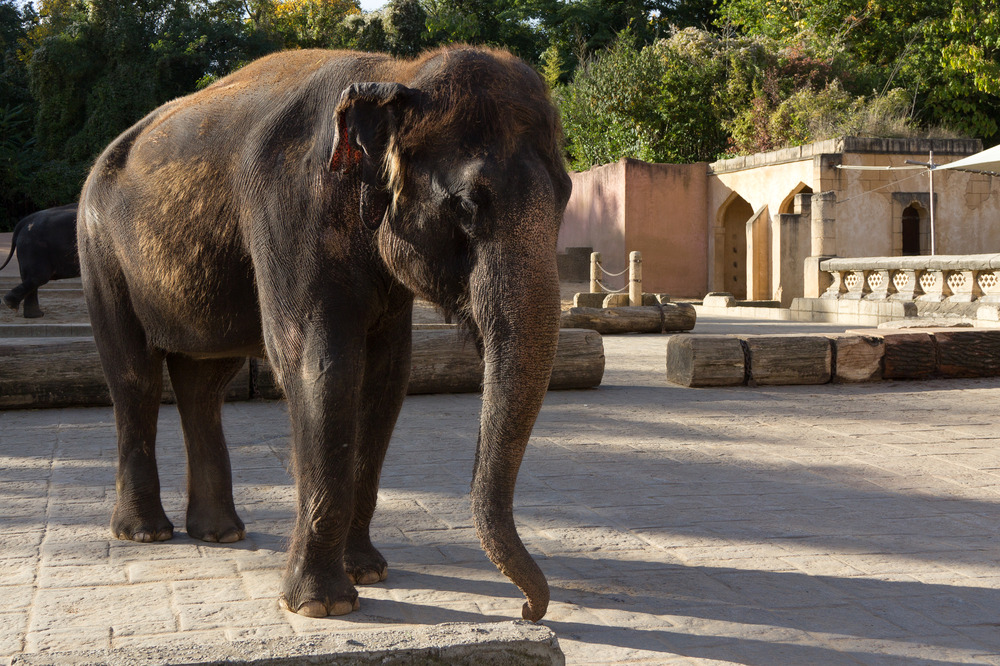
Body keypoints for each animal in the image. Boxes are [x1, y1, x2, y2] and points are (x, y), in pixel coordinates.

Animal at [78, 48, 572, 624]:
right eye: (469, 204)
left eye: (567, 196)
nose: (528, 612)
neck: (396, 76)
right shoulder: (288, 210)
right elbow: (321, 367)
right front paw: (323, 606)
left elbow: (386, 379)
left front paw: (368, 573)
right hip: (99, 252)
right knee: (132, 376)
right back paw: (147, 534)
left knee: (204, 382)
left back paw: (221, 534)